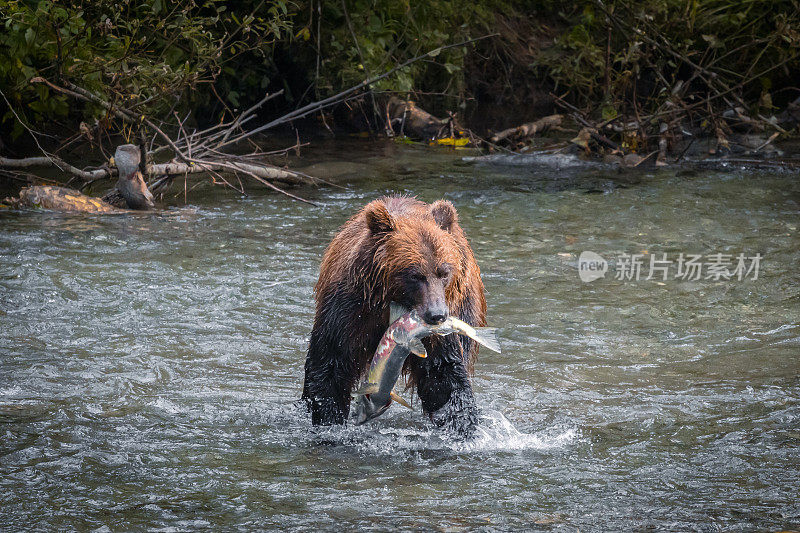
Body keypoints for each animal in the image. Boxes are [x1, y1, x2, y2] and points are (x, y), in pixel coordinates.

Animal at [302, 193, 484, 434]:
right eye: (415, 275)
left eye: (444, 272)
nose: (437, 315)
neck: (393, 300)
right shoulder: (349, 310)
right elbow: (331, 363)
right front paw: (330, 420)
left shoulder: (440, 327)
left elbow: (443, 374)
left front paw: (462, 423)